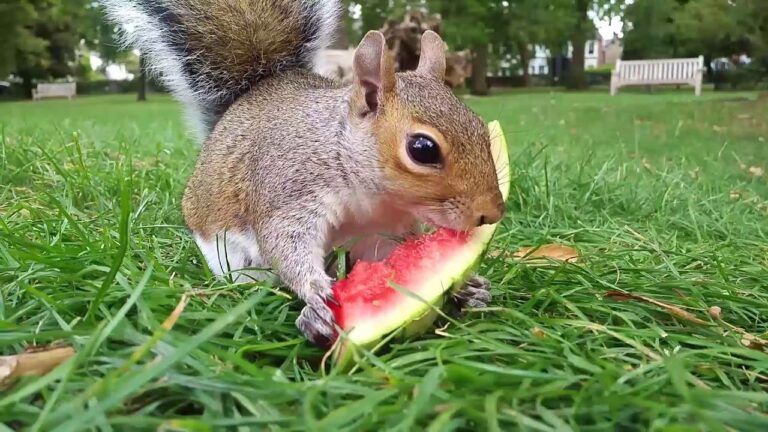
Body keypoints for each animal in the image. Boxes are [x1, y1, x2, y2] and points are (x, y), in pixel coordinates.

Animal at [102, 0, 505, 346]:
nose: (491, 213)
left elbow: (390, 256)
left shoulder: (379, 230)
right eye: (423, 149)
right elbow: (285, 243)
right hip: (228, 255)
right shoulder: (290, 190)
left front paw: (462, 285)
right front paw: (315, 290)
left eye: (479, 126)